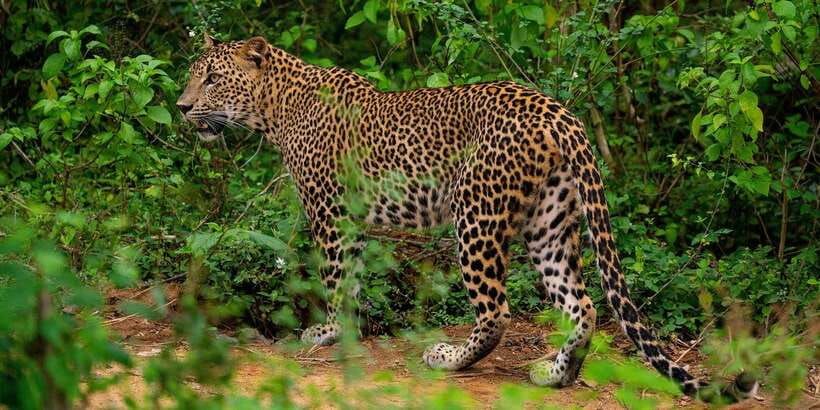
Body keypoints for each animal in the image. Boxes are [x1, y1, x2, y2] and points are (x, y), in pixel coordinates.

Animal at [176, 34, 758, 402]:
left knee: (497, 311)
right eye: (192, 78)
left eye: (212, 79)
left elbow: (336, 280)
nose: (182, 108)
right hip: (549, 224)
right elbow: (355, 281)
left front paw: (327, 333)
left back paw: (451, 357)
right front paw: (349, 331)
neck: (275, 108)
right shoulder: (354, 221)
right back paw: (556, 374)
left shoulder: (330, 214)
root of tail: (563, 115)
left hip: (475, 212)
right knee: (584, 304)